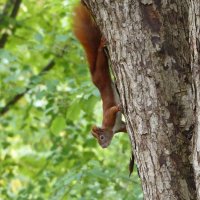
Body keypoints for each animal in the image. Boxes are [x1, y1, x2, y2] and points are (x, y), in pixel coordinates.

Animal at [72, 3, 126, 148]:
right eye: (98, 140)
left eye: (101, 137)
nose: (103, 146)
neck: (110, 128)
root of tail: (95, 80)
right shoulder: (118, 125)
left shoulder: (108, 117)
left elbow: (112, 110)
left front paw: (118, 107)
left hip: (101, 73)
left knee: (101, 59)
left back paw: (101, 46)